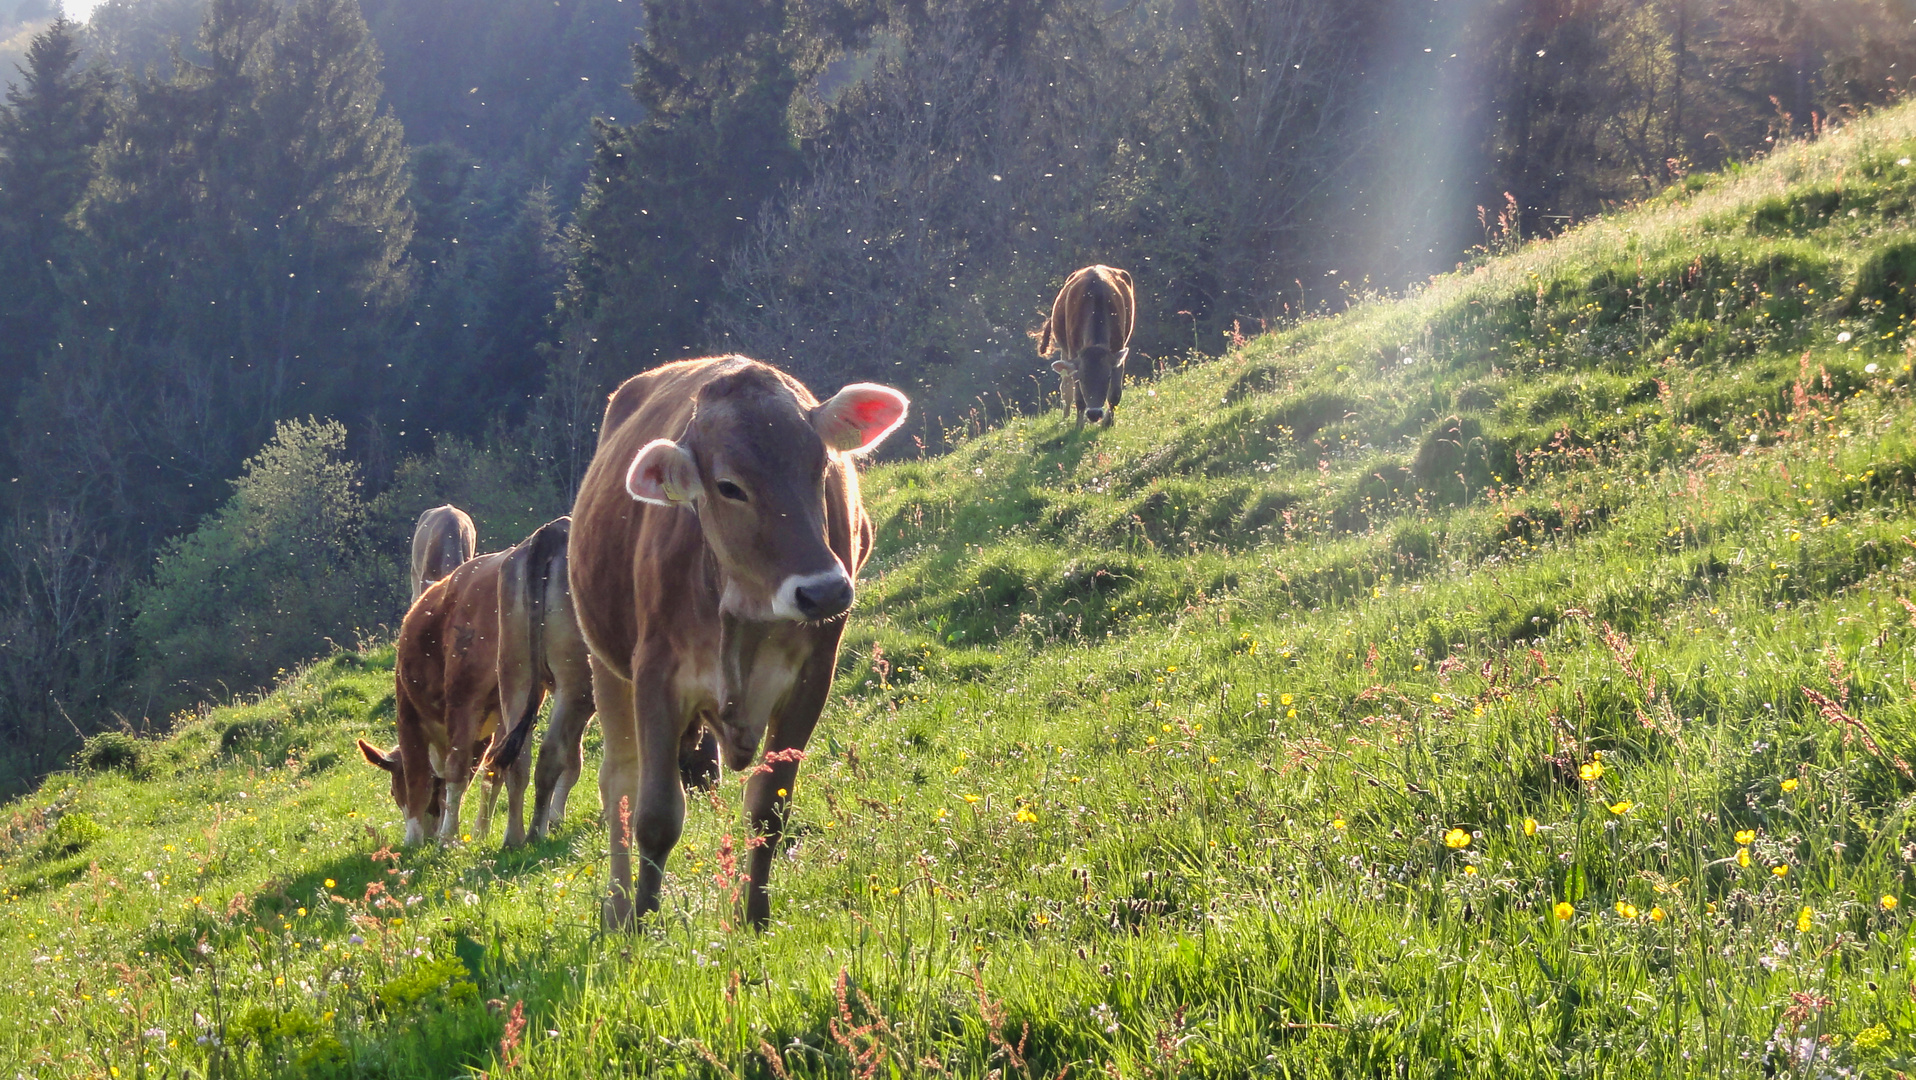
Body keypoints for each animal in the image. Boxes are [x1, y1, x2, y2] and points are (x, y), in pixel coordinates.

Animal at [360, 517, 590, 846]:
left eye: (393, 790)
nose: (429, 834)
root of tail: (552, 531)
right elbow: (487, 773)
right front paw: (480, 831)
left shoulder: (409, 711)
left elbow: (421, 776)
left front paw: (416, 838)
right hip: (518, 684)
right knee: (515, 762)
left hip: (472, 692)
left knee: (465, 767)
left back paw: (455, 836)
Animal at [570, 354, 908, 926]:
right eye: (729, 486)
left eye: (820, 467)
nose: (825, 590)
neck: (747, 610)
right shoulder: (655, 674)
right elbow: (655, 815)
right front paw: (644, 922)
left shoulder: (813, 675)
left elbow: (769, 808)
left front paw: (755, 916)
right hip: (604, 663)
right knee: (618, 783)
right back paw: (617, 908)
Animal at [1042, 264, 1126, 428]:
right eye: (1081, 378)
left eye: (1108, 377)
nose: (1094, 414)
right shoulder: (1074, 352)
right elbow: (1078, 397)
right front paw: (1079, 425)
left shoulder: (1118, 350)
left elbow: (1115, 393)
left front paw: (1108, 422)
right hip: (1064, 349)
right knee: (1066, 385)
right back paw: (1066, 416)